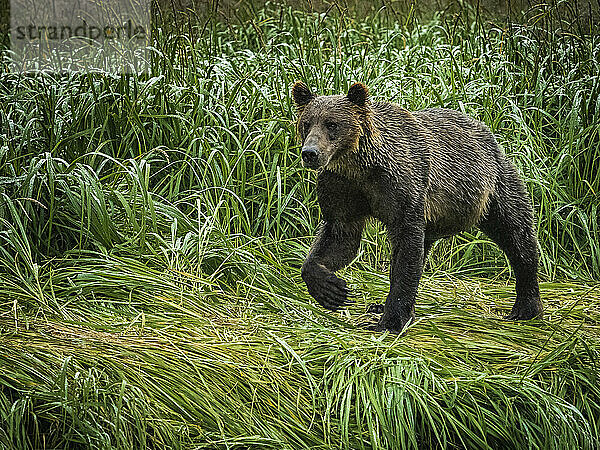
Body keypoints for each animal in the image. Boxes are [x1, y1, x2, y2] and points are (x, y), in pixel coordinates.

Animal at [292, 81, 548, 332]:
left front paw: (389, 322)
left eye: (332, 124)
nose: (310, 153)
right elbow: (339, 236)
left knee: (516, 234)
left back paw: (526, 307)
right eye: (306, 123)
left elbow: (406, 249)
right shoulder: (341, 186)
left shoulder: (402, 186)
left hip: (494, 186)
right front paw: (331, 289)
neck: (360, 166)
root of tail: (488, 132)